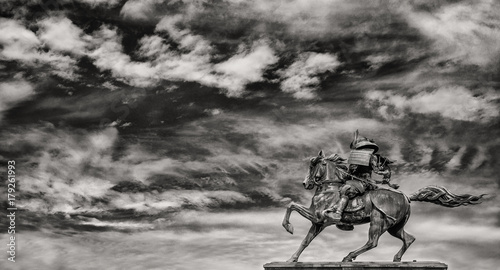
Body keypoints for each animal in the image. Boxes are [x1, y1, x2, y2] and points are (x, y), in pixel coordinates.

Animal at [284, 150, 486, 262]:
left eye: (313, 165)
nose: (305, 184)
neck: (329, 187)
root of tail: (406, 197)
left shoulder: (319, 217)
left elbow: (292, 205)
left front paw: (288, 227)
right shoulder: (318, 223)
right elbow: (305, 240)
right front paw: (291, 259)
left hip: (378, 220)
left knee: (373, 242)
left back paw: (349, 256)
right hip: (394, 227)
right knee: (409, 239)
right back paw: (396, 259)